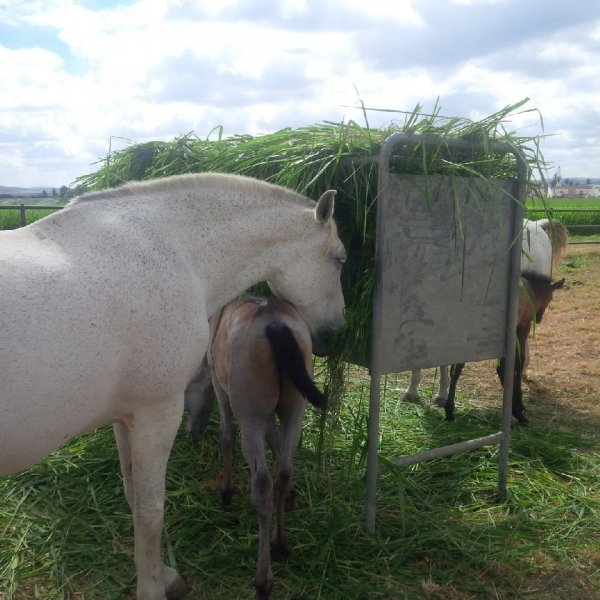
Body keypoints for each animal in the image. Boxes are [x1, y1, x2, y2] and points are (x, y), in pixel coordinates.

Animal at [0, 171, 344, 596]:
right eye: (340, 259)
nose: (336, 332)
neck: (176, 253)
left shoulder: (125, 417)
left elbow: (133, 493)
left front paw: (158, 573)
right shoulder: (158, 414)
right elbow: (151, 512)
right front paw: (153, 587)